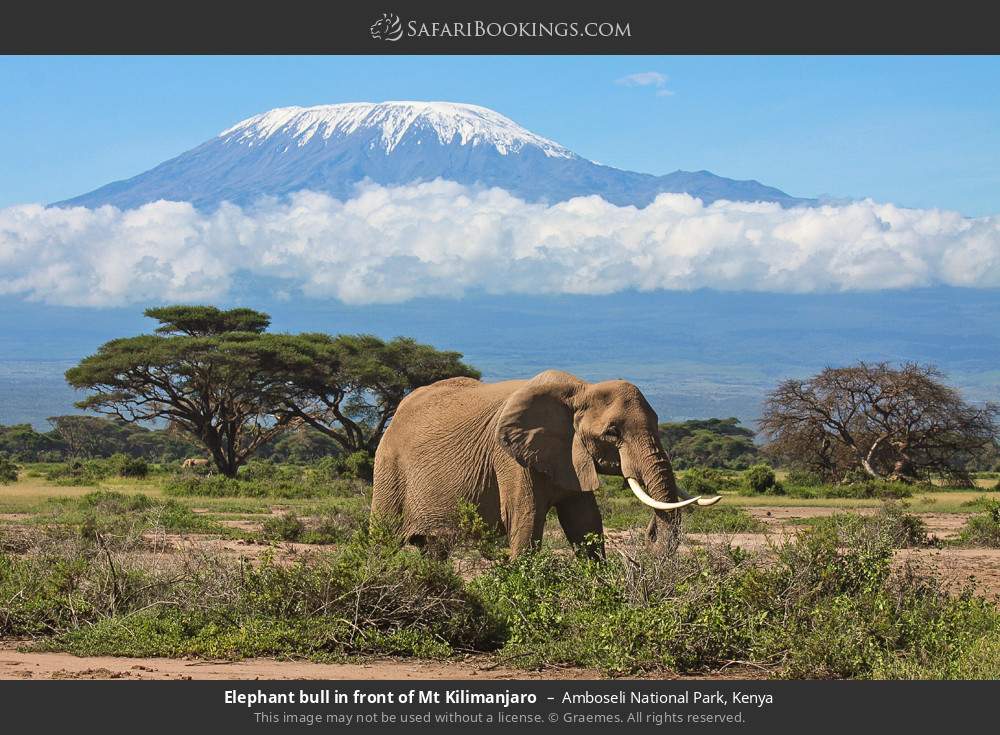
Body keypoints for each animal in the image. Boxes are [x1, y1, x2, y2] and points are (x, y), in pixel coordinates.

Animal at [371, 370, 720, 558]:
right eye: (612, 432)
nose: (649, 534)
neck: (580, 390)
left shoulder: (570, 456)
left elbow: (586, 524)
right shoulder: (509, 459)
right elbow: (525, 522)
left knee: (434, 549)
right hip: (388, 467)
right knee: (383, 539)